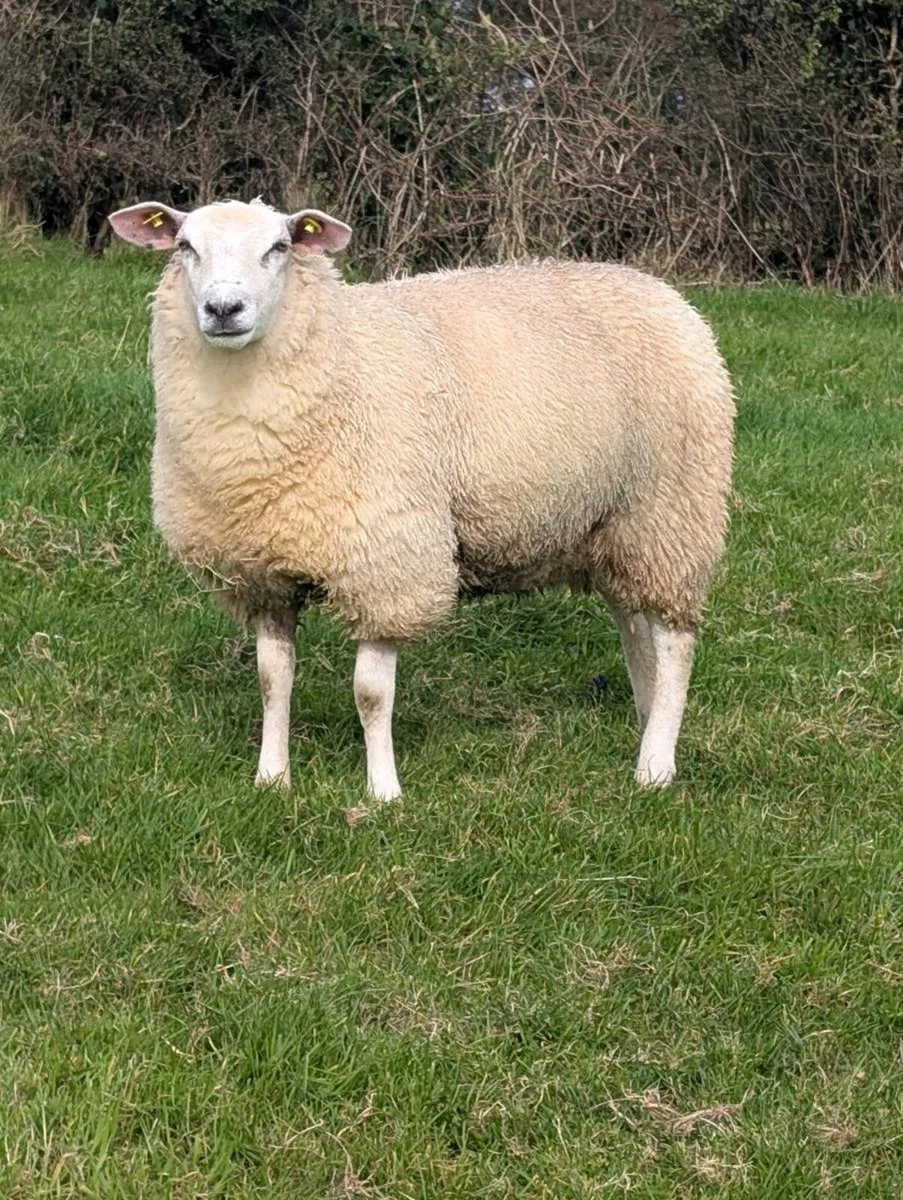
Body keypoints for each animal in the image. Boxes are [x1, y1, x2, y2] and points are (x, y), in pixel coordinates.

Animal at [109, 198, 734, 799]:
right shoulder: (263, 575)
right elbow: (272, 679)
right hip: (614, 525)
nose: (224, 309)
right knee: (636, 628)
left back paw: (655, 767)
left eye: (280, 247)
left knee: (675, 642)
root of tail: (662, 292)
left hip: (673, 510)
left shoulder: (387, 563)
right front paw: (272, 778)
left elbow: (370, 694)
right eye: (185, 246)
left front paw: (384, 791)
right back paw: (650, 723)